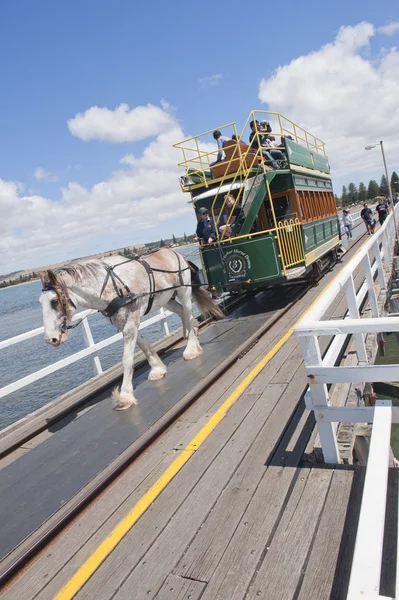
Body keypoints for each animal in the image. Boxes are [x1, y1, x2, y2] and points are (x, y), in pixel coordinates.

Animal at [39, 247, 223, 408]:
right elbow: (143, 344)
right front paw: (157, 368)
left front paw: (125, 395)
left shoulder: (130, 322)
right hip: (167, 299)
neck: (110, 285)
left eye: (54, 301)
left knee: (188, 313)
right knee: (184, 314)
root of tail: (174, 253)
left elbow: (127, 360)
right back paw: (192, 337)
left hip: (183, 291)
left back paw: (191, 348)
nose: (51, 339)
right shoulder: (124, 323)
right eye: (40, 302)